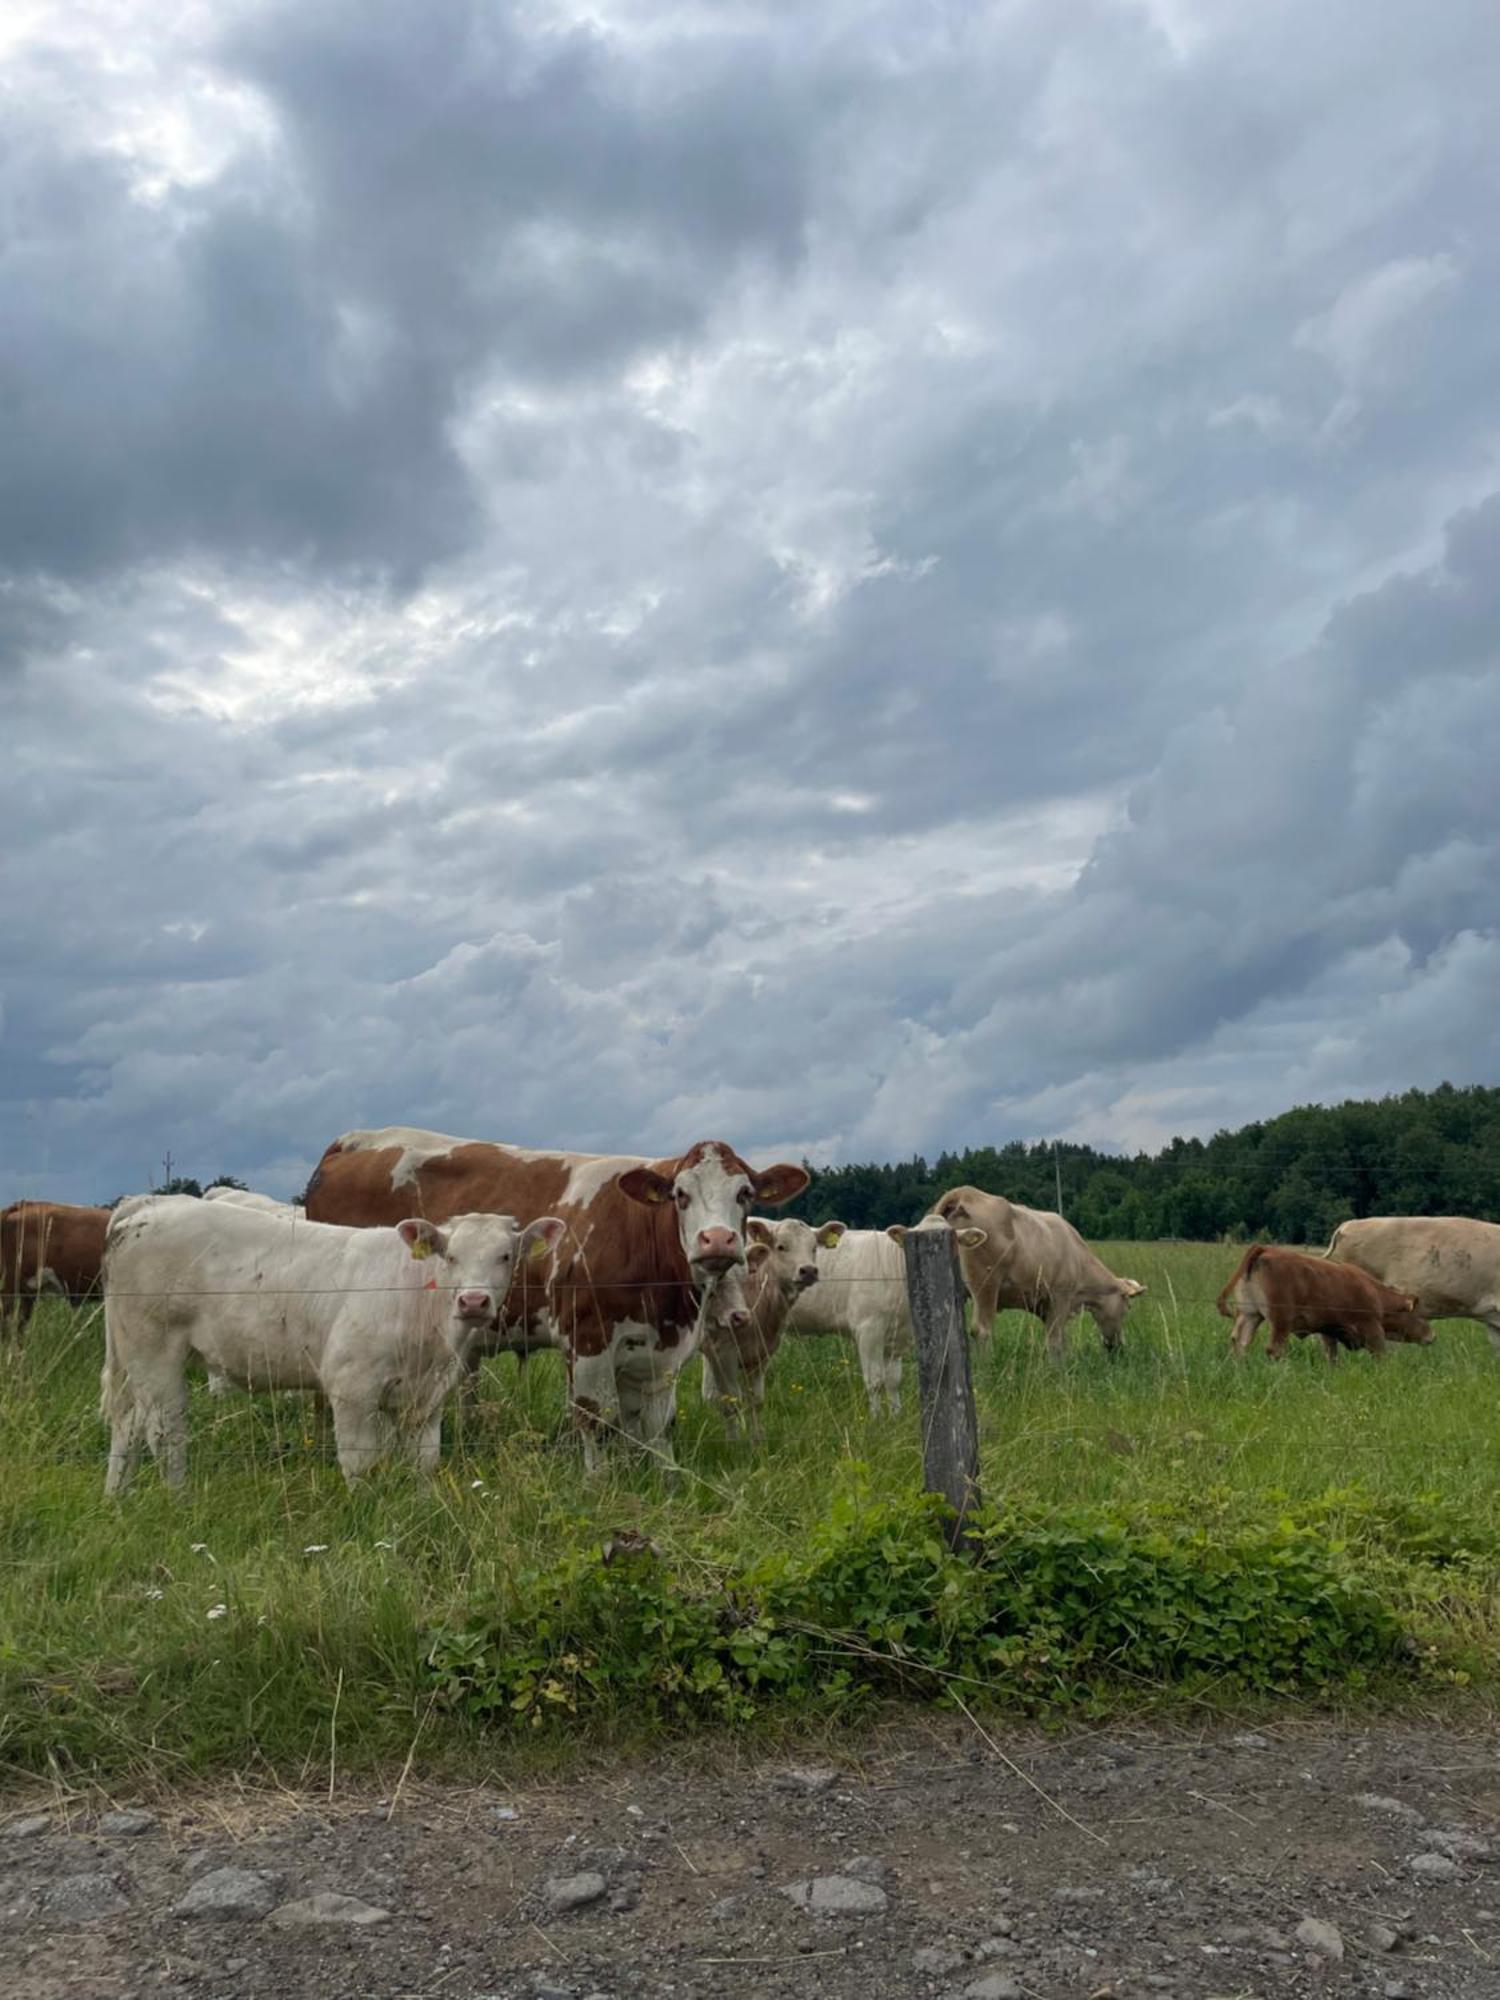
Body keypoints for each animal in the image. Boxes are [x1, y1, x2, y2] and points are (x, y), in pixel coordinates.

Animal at [100, 1192, 568, 1496]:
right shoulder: (352, 1388)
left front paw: (420, 1505)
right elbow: (360, 1462)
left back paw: (117, 1497)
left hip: (132, 1354)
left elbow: (423, 1462)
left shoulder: (426, 1399)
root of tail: (148, 1206)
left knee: (127, 1422)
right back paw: (179, 1499)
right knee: (164, 1431)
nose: (473, 1301)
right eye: (449, 1256)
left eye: (506, 1256)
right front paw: (366, 1513)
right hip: (154, 1349)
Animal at [302, 1128, 812, 1472]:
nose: (718, 1240)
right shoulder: (586, 1337)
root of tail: (353, 1140)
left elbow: (654, 1422)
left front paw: (662, 1477)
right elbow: (593, 1418)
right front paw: (598, 1483)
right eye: (680, 1195)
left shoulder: (662, 1348)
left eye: (744, 1193)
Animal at [924, 1184, 1144, 1360]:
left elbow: (1061, 1340)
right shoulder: (1060, 1297)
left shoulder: (1045, 1306)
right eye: (1128, 1306)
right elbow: (1055, 1341)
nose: (1118, 1347)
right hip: (985, 1284)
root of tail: (963, 1193)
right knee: (981, 1330)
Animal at [1216, 1240, 1440, 1368]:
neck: (1374, 1293)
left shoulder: (1328, 1330)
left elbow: (1332, 1356)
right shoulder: (1372, 1328)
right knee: (1274, 1349)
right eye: (1421, 1315)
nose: (1433, 1336)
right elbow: (1380, 1354)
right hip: (1281, 1322)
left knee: (1240, 1343)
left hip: (1249, 1315)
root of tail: (1264, 1250)